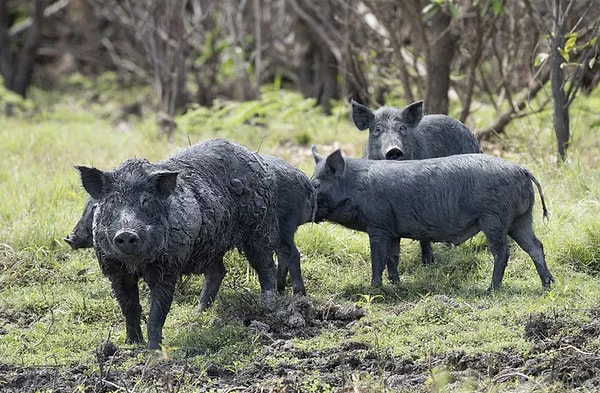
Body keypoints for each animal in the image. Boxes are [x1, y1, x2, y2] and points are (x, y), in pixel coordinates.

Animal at [71, 139, 278, 350]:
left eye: (146, 201)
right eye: (112, 201)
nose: (126, 233)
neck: (136, 264)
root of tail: (256, 157)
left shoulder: (169, 266)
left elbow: (158, 310)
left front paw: (153, 349)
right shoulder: (114, 270)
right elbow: (129, 307)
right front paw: (132, 344)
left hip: (258, 228)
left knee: (266, 265)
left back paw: (268, 307)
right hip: (210, 246)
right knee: (218, 272)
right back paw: (199, 312)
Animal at [312, 147, 556, 290]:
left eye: (315, 184)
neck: (354, 188)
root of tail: (521, 169)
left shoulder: (378, 225)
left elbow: (377, 258)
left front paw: (375, 288)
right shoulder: (392, 230)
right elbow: (393, 258)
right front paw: (396, 284)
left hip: (494, 219)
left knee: (502, 252)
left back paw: (491, 289)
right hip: (521, 219)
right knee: (536, 246)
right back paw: (548, 284)